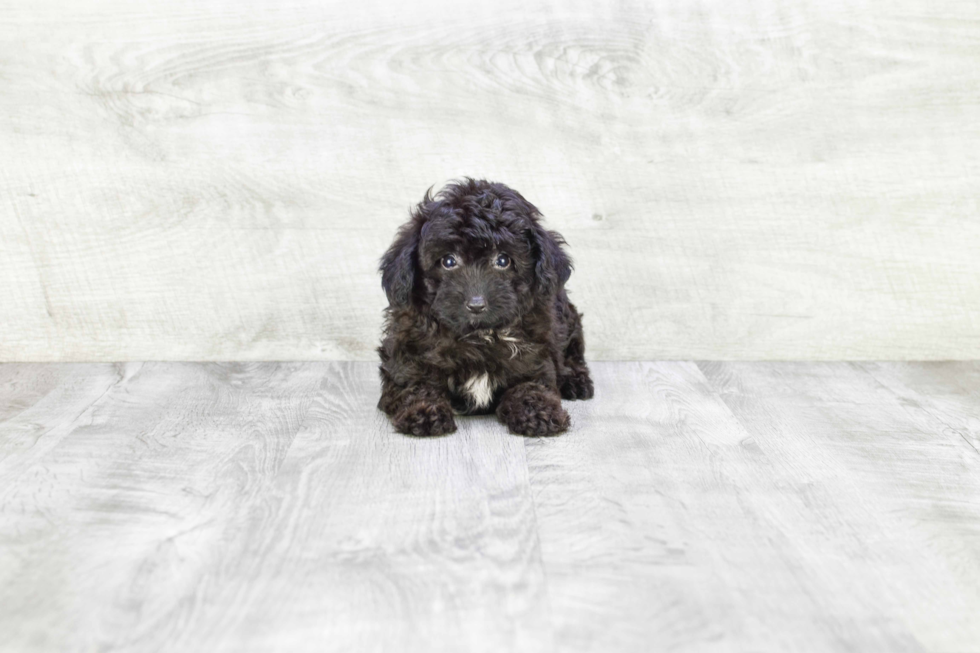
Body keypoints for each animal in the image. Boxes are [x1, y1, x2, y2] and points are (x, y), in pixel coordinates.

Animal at [378, 176, 592, 436]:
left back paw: (576, 381)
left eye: (503, 260)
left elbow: (532, 385)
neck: (479, 335)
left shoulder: (536, 356)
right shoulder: (407, 354)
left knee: (573, 354)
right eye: (448, 261)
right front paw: (424, 411)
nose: (476, 305)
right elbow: (414, 384)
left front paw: (538, 412)